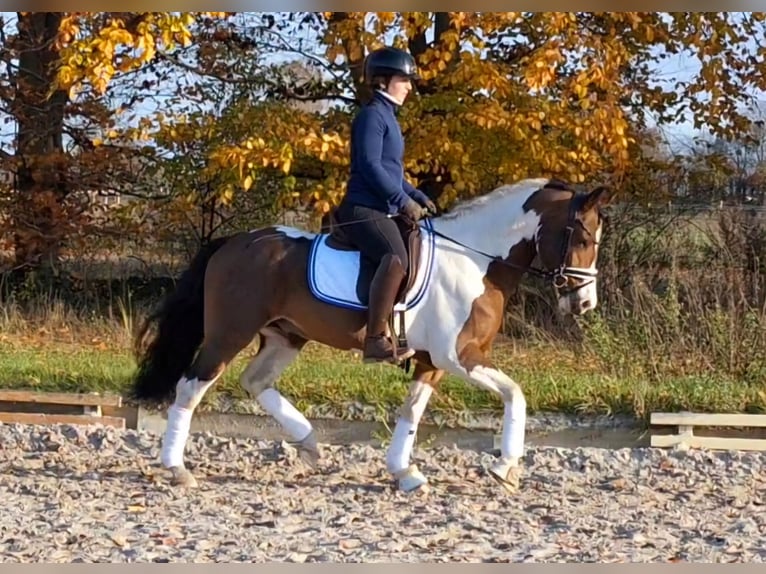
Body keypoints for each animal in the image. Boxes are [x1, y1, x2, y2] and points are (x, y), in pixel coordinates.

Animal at [130, 179, 612, 496]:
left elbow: (411, 412)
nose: (585, 304)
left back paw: (309, 443)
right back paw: (177, 468)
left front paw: (405, 473)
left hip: (285, 337)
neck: (475, 260)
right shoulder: (458, 355)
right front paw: (506, 467)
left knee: (255, 381)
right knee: (190, 387)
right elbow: (516, 394)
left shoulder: (432, 361)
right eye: (584, 237)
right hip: (229, 334)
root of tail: (234, 242)